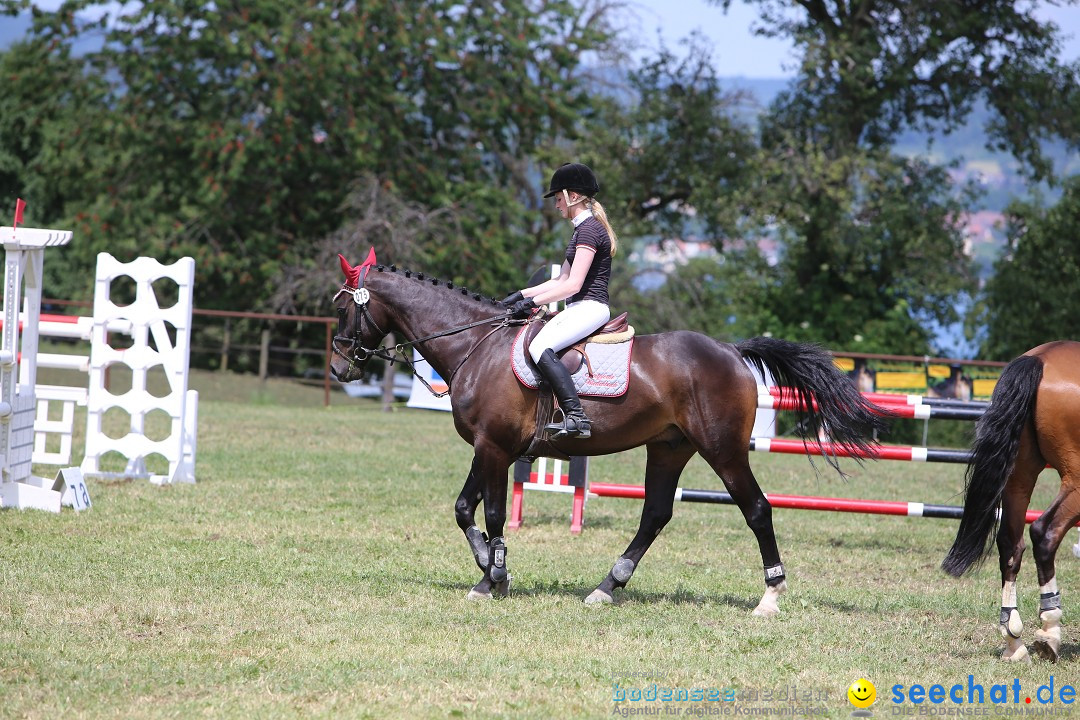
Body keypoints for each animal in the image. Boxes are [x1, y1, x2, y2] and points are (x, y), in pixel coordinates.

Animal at [332, 252, 889, 613]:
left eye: (342, 309)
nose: (339, 368)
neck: (475, 345)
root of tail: (731, 351)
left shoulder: (495, 448)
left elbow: (490, 513)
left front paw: (495, 578)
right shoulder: (491, 448)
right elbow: (464, 509)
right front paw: (489, 570)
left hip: (723, 449)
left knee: (756, 509)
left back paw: (769, 597)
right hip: (669, 448)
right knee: (655, 514)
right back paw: (606, 587)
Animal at [941, 341, 1080, 660]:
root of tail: (1040, 358)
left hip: (1018, 475)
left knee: (1010, 543)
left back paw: (1014, 640)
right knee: (1045, 533)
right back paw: (1049, 632)